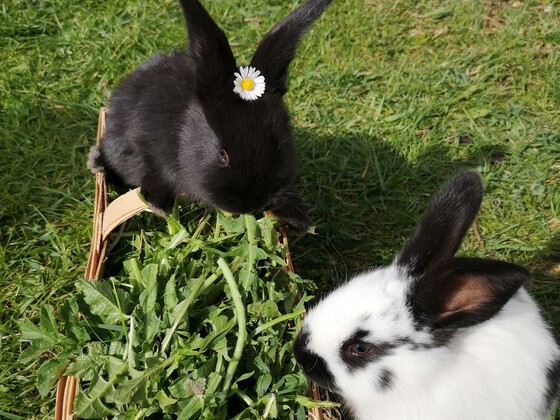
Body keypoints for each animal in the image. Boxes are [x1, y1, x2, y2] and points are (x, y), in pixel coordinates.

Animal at [87, 0, 332, 233]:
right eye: (222, 153)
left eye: (278, 145)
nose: (255, 203)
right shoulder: (141, 137)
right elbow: (150, 164)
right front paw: (158, 204)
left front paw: (297, 218)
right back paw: (96, 163)